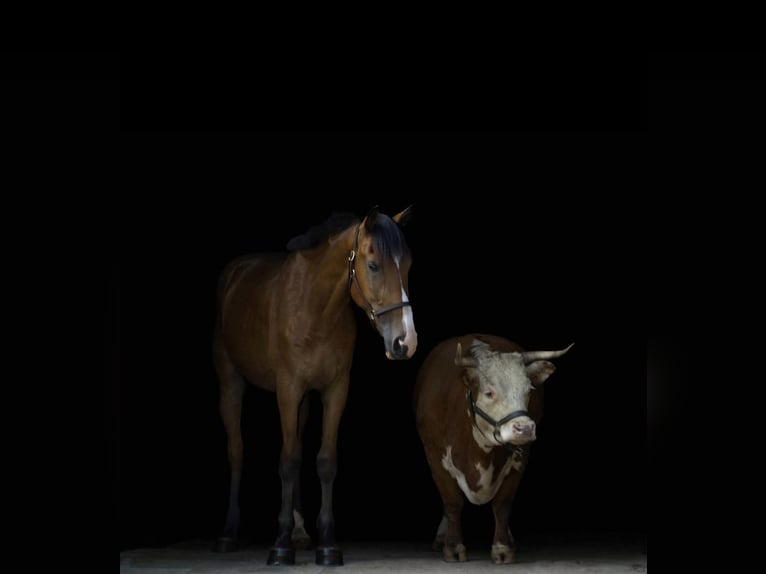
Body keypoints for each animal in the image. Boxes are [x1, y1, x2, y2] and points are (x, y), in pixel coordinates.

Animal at [212, 206, 418, 566]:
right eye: (373, 265)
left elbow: (324, 461)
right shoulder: (287, 388)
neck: (315, 307)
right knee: (236, 451)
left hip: (305, 400)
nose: (405, 342)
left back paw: (300, 532)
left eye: (406, 265)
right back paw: (229, 534)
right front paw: (280, 546)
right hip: (231, 382)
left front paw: (326, 544)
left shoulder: (335, 389)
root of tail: (236, 271)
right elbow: (288, 459)